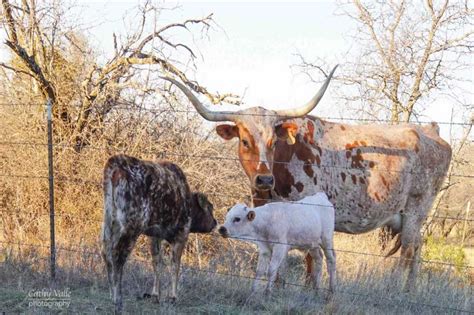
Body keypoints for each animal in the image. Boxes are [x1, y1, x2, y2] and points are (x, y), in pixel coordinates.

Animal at [103, 155, 218, 314]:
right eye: (210, 208)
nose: (215, 222)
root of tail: (116, 163)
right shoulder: (181, 233)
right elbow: (175, 264)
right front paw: (172, 297)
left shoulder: (155, 235)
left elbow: (157, 262)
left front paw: (155, 295)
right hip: (131, 226)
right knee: (118, 257)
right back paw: (118, 300)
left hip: (109, 222)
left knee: (106, 252)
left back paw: (110, 295)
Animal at [162, 67, 452, 292]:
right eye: (245, 141)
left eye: (273, 141)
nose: (264, 180)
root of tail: (430, 131)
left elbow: (310, 259)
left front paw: (308, 288)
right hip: (409, 218)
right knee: (417, 248)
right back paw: (409, 292)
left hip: (416, 208)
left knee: (408, 251)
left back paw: (393, 290)